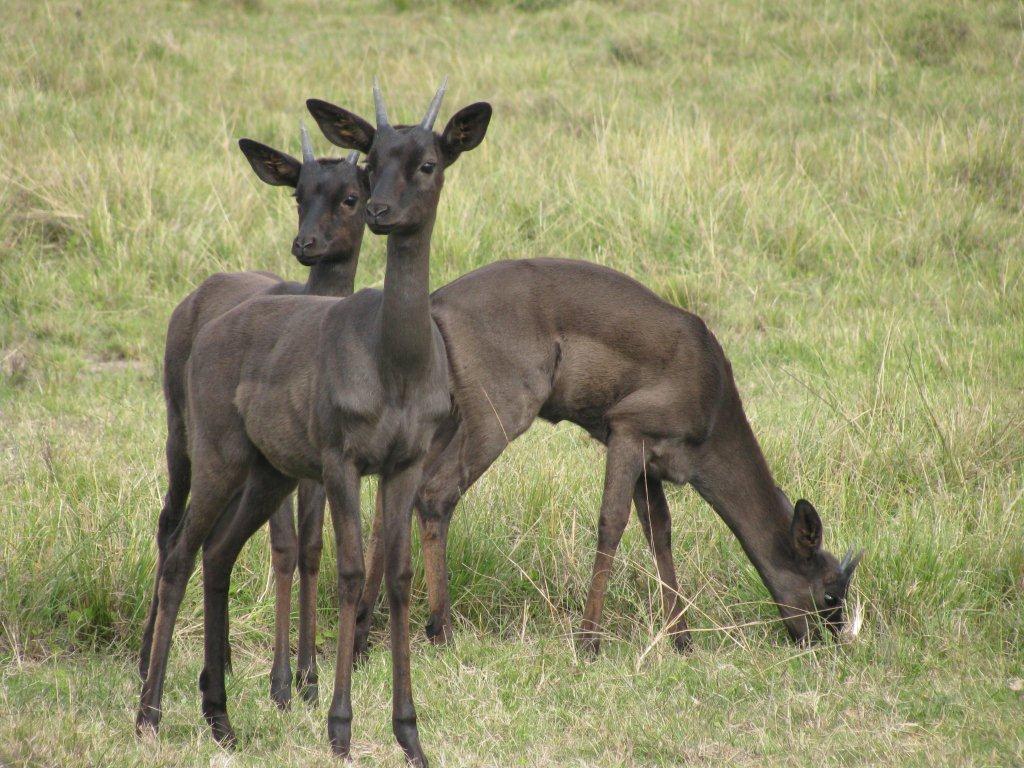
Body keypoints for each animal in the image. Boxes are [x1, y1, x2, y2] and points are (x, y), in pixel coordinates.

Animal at [138, 128, 366, 708]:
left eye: (349, 196)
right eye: (299, 193)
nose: (306, 244)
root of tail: (194, 296)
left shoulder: (314, 469)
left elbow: (312, 549)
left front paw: (309, 676)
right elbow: (284, 549)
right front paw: (282, 683)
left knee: (213, 538)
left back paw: (217, 663)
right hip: (182, 439)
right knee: (171, 526)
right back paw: (146, 662)